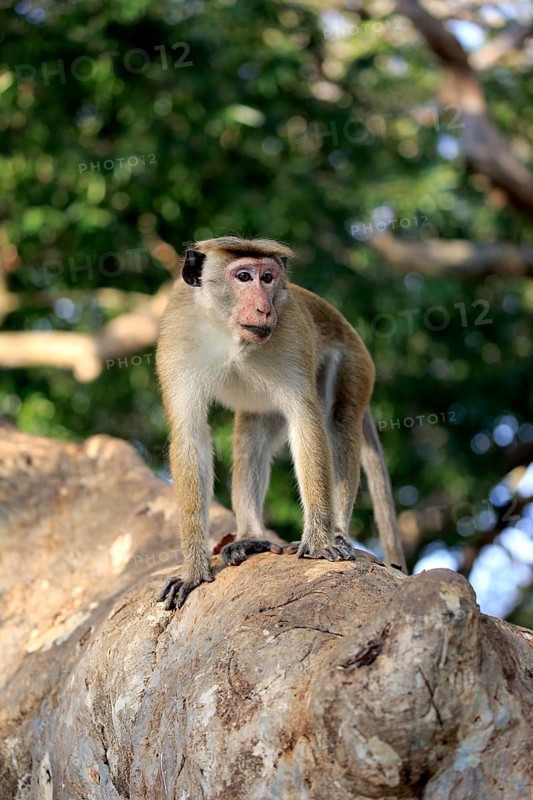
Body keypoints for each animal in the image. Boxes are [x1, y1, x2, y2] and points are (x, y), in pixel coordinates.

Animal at [156, 236, 406, 610]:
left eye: (268, 277)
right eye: (243, 276)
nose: (264, 309)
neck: (228, 333)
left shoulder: (290, 334)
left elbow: (306, 422)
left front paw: (318, 540)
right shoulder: (176, 337)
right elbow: (190, 437)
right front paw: (193, 570)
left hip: (357, 365)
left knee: (339, 420)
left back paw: (337, 531)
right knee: (250, 438)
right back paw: (250, 537)